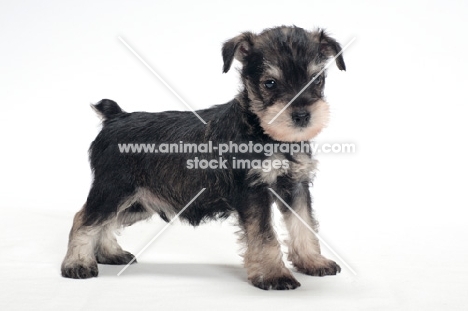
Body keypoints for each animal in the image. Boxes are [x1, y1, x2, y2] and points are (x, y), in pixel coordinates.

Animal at [60, 25, 346, 292]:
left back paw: (109, 253)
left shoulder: (296, 186)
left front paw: (312, 261)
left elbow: (304, 225)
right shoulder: (253, 191)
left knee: (106, 223)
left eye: (317, 79)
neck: (264, 131)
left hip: (138, 202)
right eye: (270, 83)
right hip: (113, 190)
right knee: (85, 219)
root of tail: (115, 117)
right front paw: (274, 274)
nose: (302, 116)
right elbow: (264, 235)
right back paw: (78, 263)